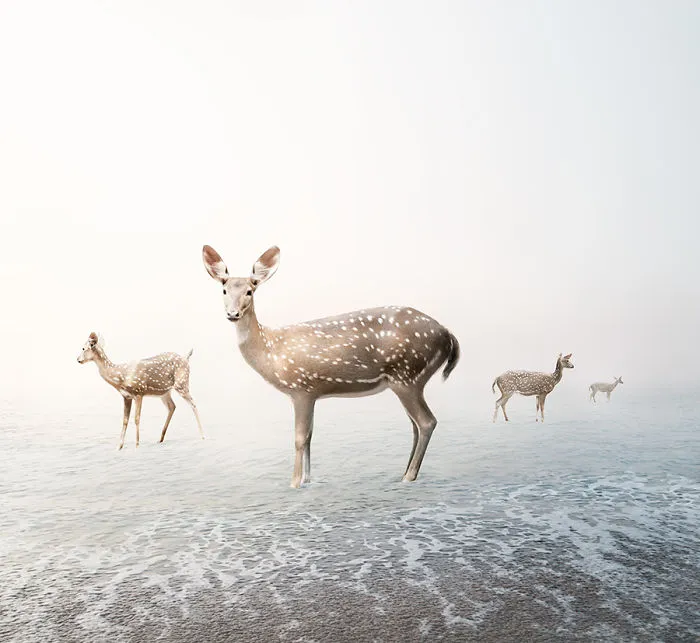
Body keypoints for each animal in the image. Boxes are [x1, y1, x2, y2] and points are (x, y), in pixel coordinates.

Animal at [77, 332, 205, 449]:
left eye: (83, 348)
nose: (77, 359)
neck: (121, 376)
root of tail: (186, 358)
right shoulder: (126, 396)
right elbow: (125, 420)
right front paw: (119, 446)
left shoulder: (139, 392)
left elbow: (136, 418)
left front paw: (137, 445)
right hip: (164, 392)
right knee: (172, 406)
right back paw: (160, 439)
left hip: (182, 383)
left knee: (193, 404)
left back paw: (203, 436)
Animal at [202, 245, 460, 488]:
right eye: (224, 290)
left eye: (249, 290)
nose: (232, 313)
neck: (271, 350)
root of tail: (448, 335)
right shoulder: (310, 393)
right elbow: (309, 436)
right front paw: (307, 480)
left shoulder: (302, 388)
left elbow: (299, 437)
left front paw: (294, 483)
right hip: (408, 380)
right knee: (415, 425)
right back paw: (405, 472)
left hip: (407, 375)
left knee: (426, 422)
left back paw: (408, 476)